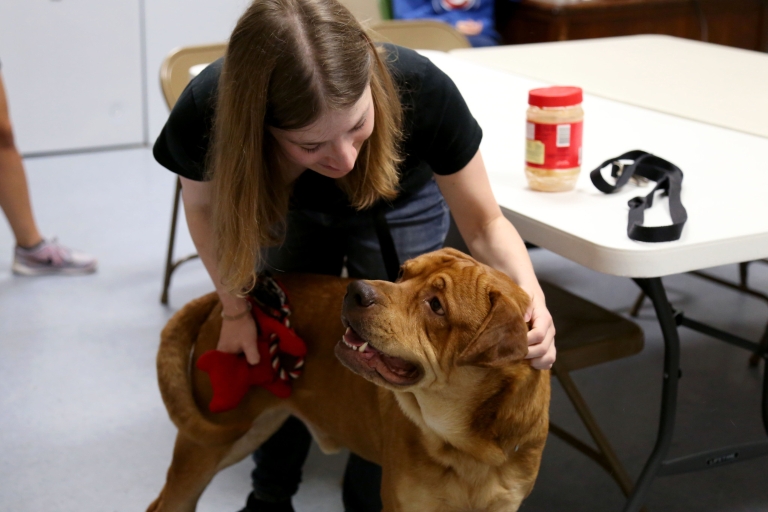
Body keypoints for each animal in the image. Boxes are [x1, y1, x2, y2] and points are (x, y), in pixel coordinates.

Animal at [147, 246, 548, 510]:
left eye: (436, 305)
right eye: (402, 273)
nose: (356, 290)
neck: (467, 447)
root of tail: (225, 301)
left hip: (249, 432)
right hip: (209, 442)